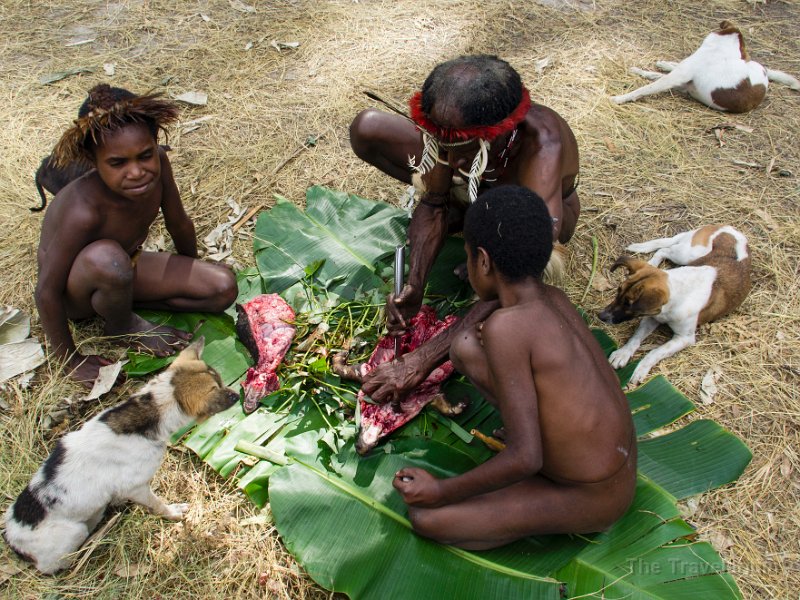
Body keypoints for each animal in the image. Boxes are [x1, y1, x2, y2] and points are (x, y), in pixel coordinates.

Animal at [3, 336, 241, 576]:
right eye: (219, 388)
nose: (239, 394)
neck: (149, 411)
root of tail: (13, 543)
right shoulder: (135, 486)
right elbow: (157, 505)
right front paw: (173, 513)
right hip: (73, 533)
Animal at [600, 224, 752, 384]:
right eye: (618, 291)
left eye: (629, 304)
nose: (601, 316)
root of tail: (727, 228)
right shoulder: (652, 317)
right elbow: (636, 337)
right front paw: (623, 353)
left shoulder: (684, 338)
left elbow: (655, 351)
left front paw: (640, 368)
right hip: (689, 253)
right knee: (664, 249)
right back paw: (652, 264)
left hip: (689, 253)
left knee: (666, 248)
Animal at [616, 20, 796, 112]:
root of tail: (764, 72)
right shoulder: (682, 75)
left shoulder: (679, 76)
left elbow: (643, 89)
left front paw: (619, 98)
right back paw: (662, 64)